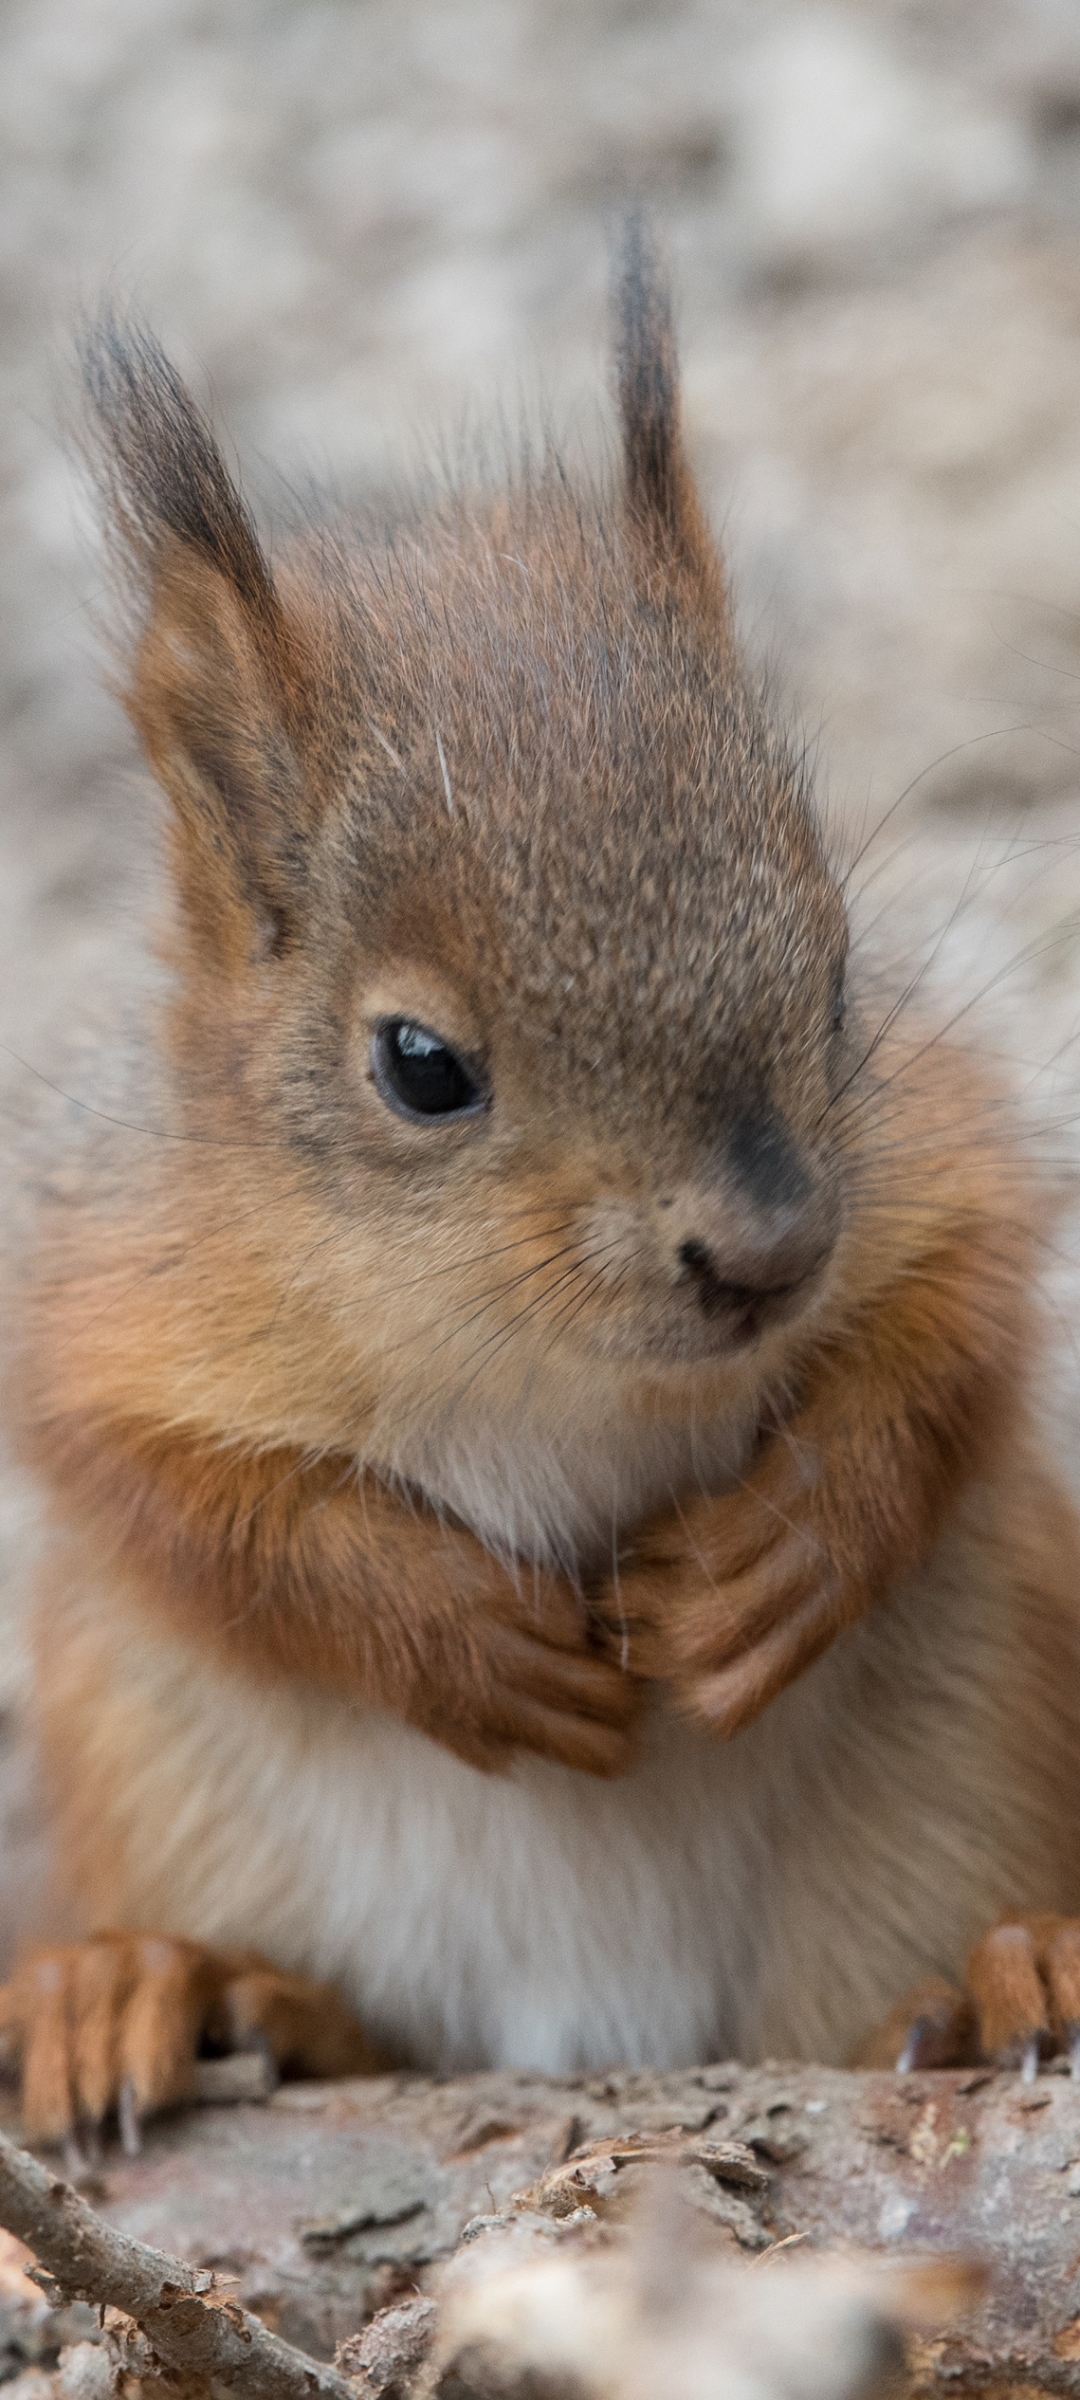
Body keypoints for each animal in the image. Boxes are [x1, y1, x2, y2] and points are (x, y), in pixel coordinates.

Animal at [2, 229, 1080, 2160]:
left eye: (838, 967)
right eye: (420, 1064)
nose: (766, 1254)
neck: (536, 1365)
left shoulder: (940, 1158)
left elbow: (953, 1328)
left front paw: (785, 1551)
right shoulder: (98, 1268)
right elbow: (168, 1492)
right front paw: (450, 1634)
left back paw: (1010, 1974)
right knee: (348, 2025)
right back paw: (161, 1992)